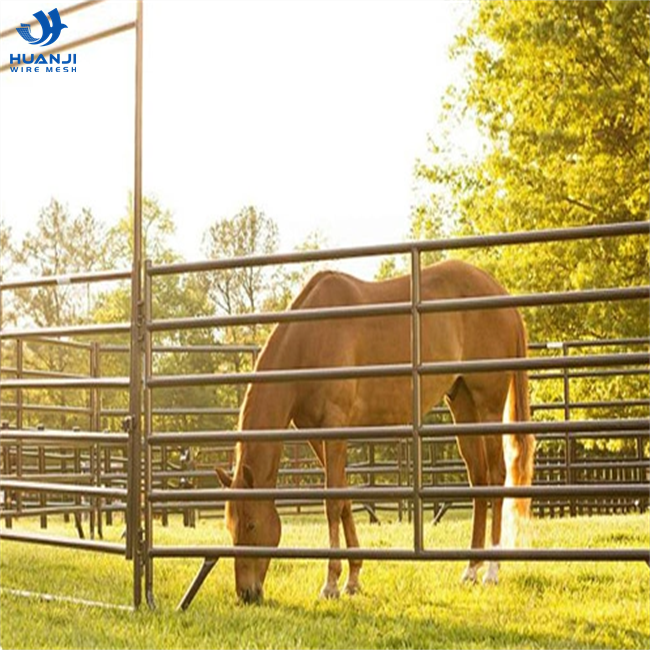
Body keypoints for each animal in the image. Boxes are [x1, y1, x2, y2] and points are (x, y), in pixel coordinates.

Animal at [216, 258, 532, 604]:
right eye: (230, 526)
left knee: (496, 476)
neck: (310, 337)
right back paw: (471, 569)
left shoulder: (335, 426)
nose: (247, 593)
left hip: (488, 404)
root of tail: (501, 294)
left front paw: (331, 583)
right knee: (478, 479)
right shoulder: (316, 434)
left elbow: (332, 503)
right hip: (462, 404)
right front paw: (353, 578)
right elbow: (344, 500)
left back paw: (492, 571)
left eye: (251, 525)